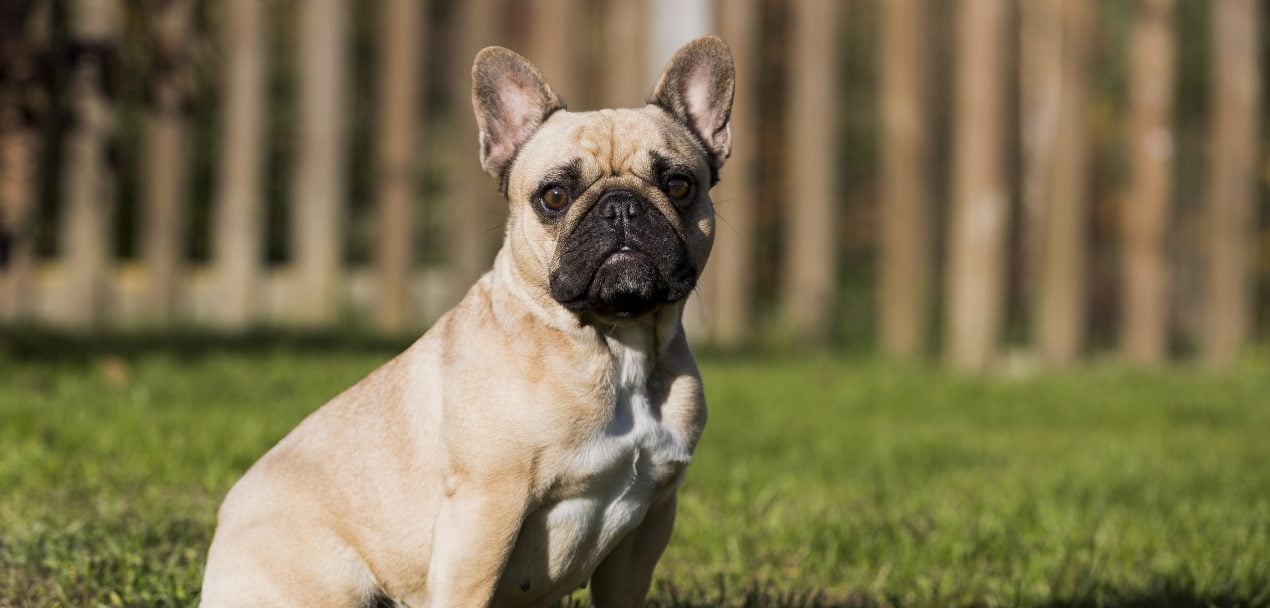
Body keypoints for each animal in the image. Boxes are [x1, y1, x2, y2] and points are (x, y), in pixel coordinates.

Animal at [198, 35, 736, 606]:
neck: (613, 345)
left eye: (678, 185)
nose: (621, 208)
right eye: (554, 196)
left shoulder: (648, 524)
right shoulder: (486, 510)